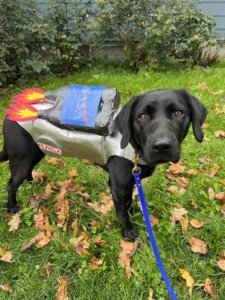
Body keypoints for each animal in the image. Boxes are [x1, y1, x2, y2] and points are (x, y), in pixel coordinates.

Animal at [0, 88, 207, 240]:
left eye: (179, 113)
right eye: (143, 116)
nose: (162, 145)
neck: (134, 146)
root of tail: (9, 112)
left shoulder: (131, 179)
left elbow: (128, 201)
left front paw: (132, 210)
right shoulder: (118, 184)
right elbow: (121, 210)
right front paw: (128, 231)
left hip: (35, 154)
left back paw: (31, 183)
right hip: (23, 158)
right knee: (11, 184)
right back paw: (12, 208)